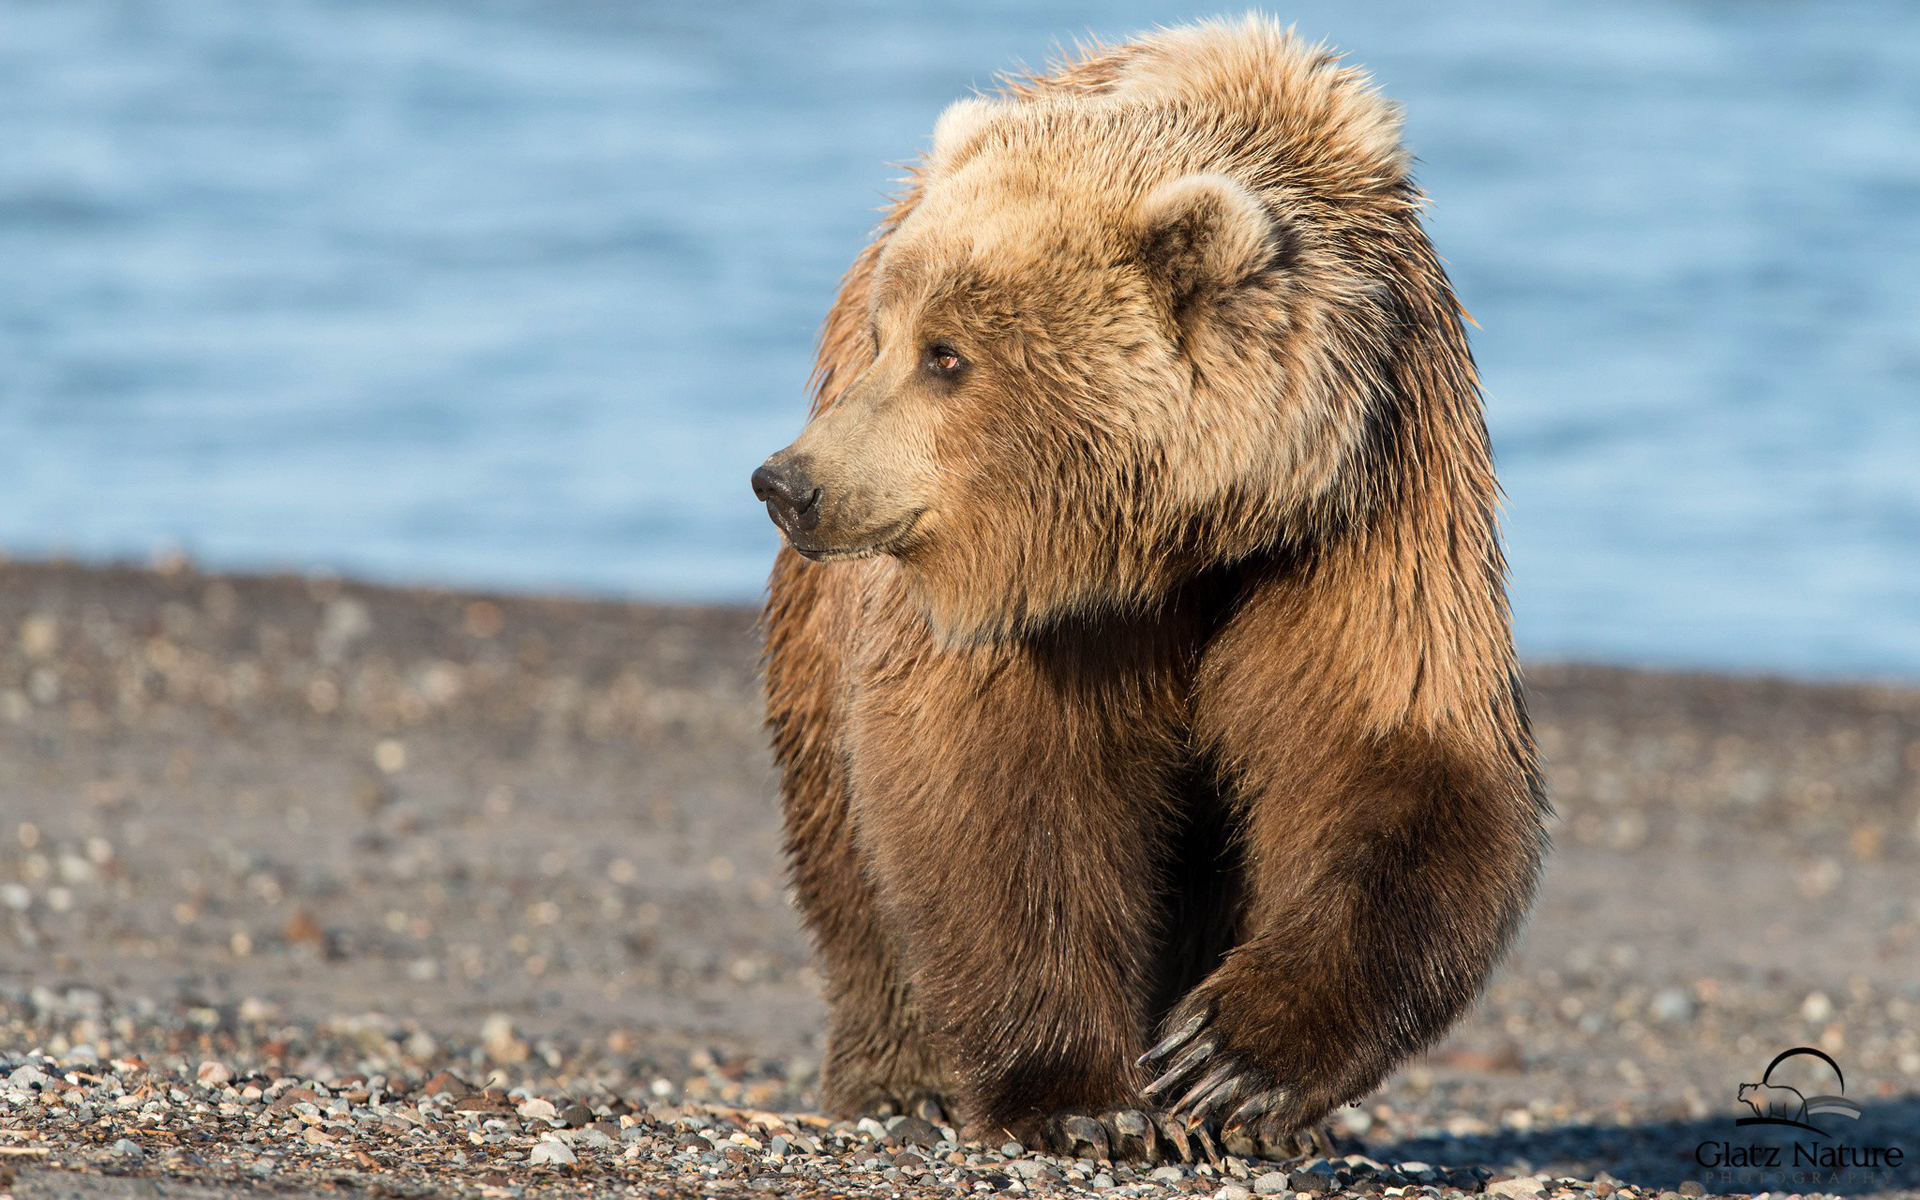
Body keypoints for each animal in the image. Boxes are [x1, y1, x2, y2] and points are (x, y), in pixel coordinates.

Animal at [756, 16, 1551, 1159]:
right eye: (886, 336)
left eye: (946, 355)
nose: (791, 483)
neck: (1187, 527)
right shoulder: (1039, 605)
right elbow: (1002, 781)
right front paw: (1082, 1099)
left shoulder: (1363, 509)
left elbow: (1394, 749)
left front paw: (1228, 1062)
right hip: (822, 636)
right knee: (839, 828)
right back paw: (900, 1077)